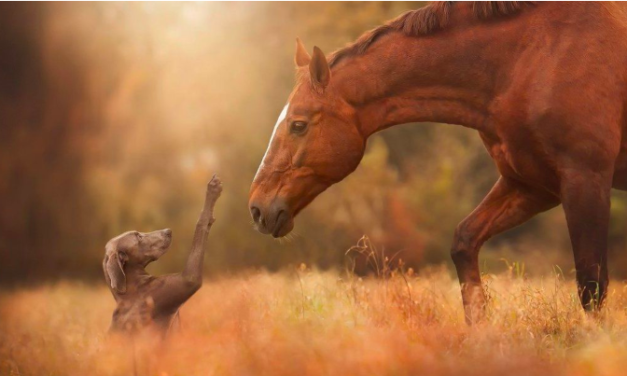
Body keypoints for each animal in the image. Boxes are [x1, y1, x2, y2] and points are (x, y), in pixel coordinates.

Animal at [248, 0, 627, 324]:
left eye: (298, 124)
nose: (257, 208)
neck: (534, 54)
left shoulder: (584, 179)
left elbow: (591, 285)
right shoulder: (533, 185)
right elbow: (464, 244)